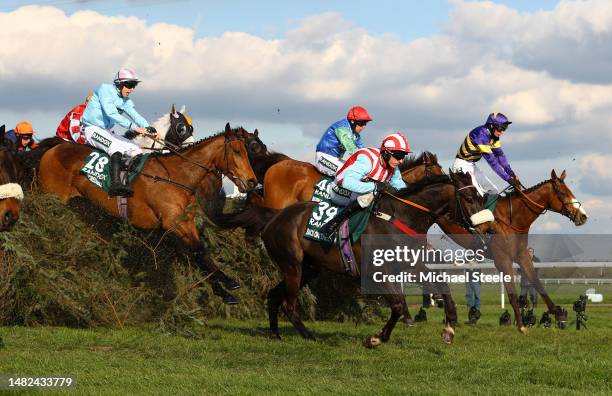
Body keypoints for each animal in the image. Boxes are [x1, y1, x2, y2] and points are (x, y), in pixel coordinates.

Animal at [38, 122, 258, 304]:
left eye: (248, 152)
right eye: (237, 151)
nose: (252, 182)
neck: (177, 175)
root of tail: (56, 146)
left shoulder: (182, 224)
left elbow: (196, 253)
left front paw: (224, 292)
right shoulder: (173, 223)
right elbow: (200, 250)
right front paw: (228, 282)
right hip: (51, 195)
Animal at [208, 170, 494, 346]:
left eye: (480, 197)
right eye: (469, 197)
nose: (488, 229)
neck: (399, 218)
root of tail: (274, 215)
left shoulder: (412, 264)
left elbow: (440, 285)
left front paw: (449, 327)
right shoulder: (376, 272)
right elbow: (398, 305)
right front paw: (376, 339)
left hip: (309, 268)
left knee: (274, 295)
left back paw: (276, 335)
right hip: (292, 266)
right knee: (289, 304)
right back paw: (309, 336)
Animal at [436, 170, 588, 332]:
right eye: (563, 193)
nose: (583, 216)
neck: (513, 219)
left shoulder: (522, 255)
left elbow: (536, 282)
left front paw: (558, 313)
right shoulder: (502, 260)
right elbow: (512, 294)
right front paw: (521, 325)